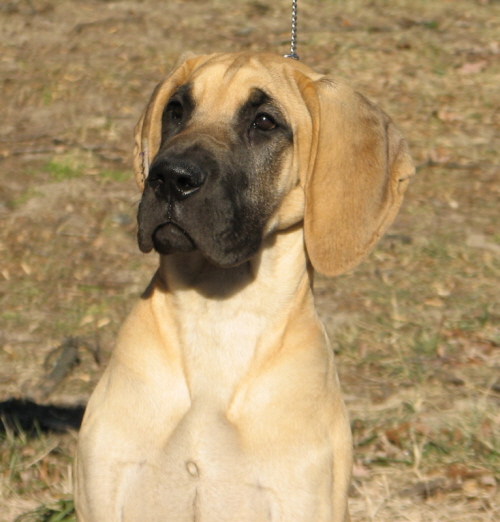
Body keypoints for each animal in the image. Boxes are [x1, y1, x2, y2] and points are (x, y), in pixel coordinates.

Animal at [72, 52, 412, 520]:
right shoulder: (102, 489)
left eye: (264, 122)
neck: (218, 314)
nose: (169, 178)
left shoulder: (299, 498)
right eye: (176, 110)